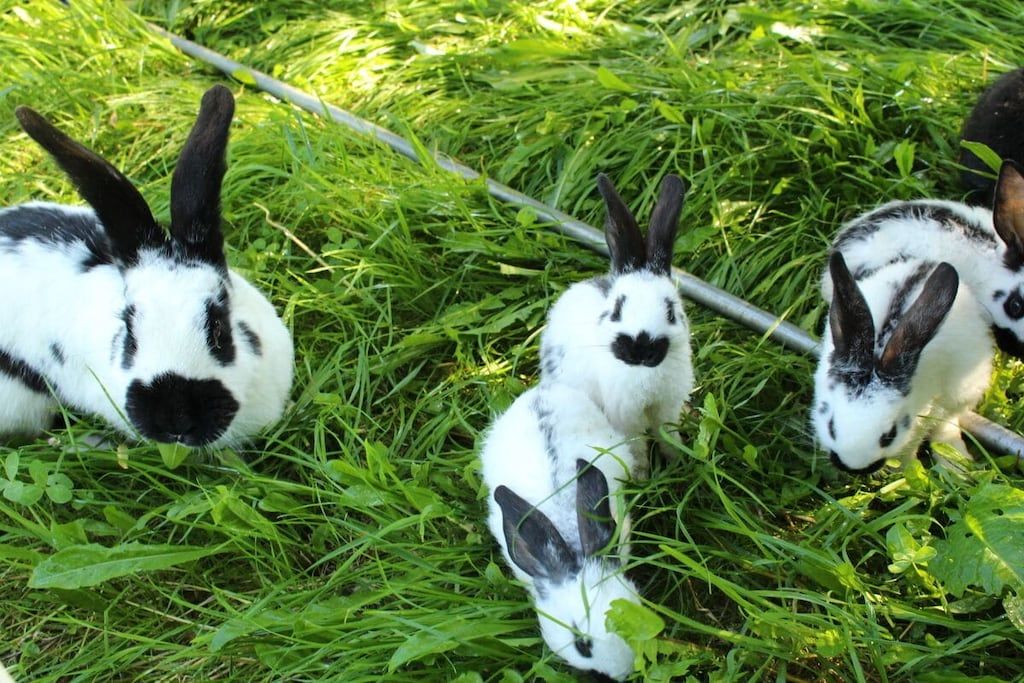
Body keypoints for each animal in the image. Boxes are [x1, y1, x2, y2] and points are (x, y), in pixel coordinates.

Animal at [539, 173, 693, 458]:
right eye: (616, 310)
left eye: (670, 312)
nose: (640, 350)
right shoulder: (625, 415)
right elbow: (637, 446)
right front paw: (643, 469)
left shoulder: (666, 407)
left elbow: (667, 435)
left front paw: (677, 459)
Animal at [813, 251, 992, 474]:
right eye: (831, 426)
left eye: (889, 435)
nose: (854, 469)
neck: (878, 352)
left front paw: (903, 469)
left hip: (962, 391)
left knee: (948, 422)